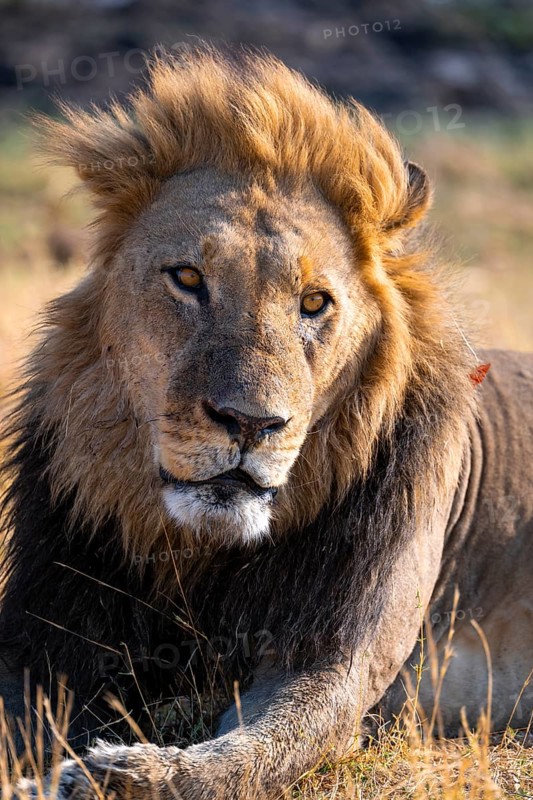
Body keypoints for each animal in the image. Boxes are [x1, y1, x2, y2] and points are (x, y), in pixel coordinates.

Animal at [1, 43, 532, 800]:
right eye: (187, 278)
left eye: (313, 302)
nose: (250, 423)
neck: (199, 556)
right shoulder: (45, 637)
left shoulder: (333, 661)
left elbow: (248, 753)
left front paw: (119, 773)